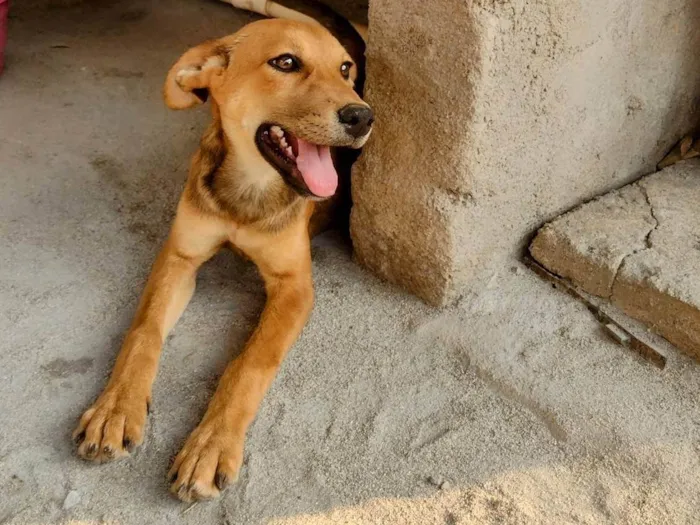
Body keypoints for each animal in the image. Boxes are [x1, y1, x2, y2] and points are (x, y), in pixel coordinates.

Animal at [72, 8, 372, 502]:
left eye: (344, 70)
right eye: (286, 62)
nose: (362, 116)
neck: (247, 191)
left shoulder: (294, 286)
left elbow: (249, 363)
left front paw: (210, 445)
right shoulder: (180, 255)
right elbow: (144, 331)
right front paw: (115, 408)